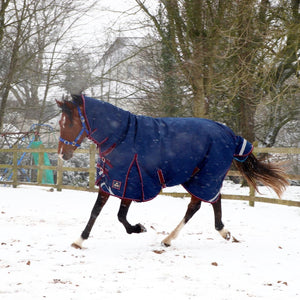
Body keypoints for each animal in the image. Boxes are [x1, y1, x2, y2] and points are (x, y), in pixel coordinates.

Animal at [55, 94, 288, 248]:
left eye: (70, 123)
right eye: (60, 122)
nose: (62, 154)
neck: (120, 137)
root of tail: (230, 134)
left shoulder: (129, 182)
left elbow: (120, 215)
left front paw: (138, 228)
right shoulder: (112, 180)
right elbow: (97, 211)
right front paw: (79, 240)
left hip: (206, 176)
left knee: (202, 204)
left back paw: (180, 238)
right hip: (201, 177)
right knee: (206, 202)